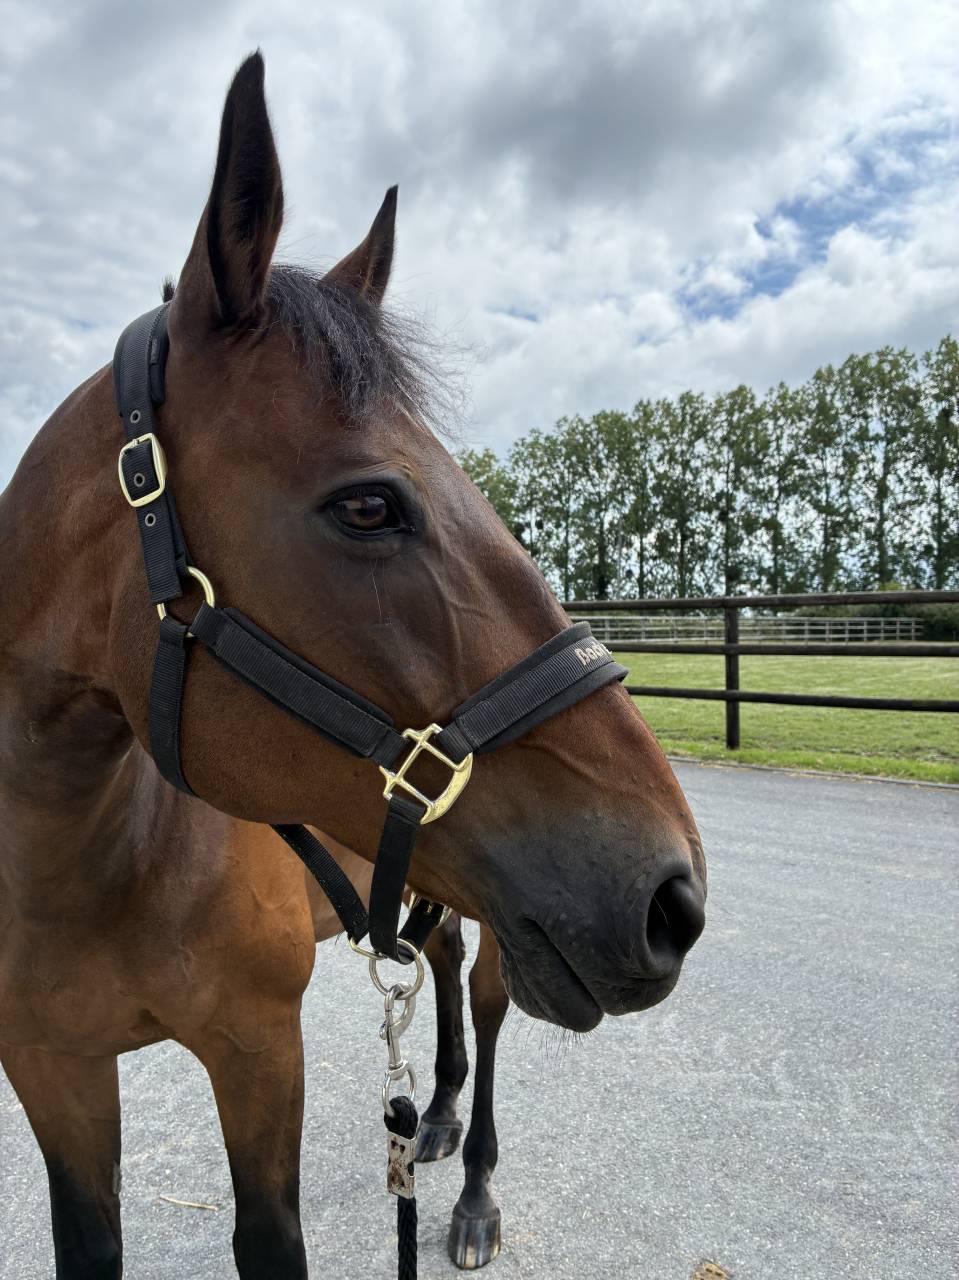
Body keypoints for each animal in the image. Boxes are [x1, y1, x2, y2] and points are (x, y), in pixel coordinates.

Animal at [0, 52, 707, 1279]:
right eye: (369, 505)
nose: (674, 895)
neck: (86, 855)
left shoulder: (256, 1048)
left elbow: (268, 1240)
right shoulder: (53, 1072)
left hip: (499, 918)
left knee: (482, 997)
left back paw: (469, 1192)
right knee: (438, 963)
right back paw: (430, 1116)